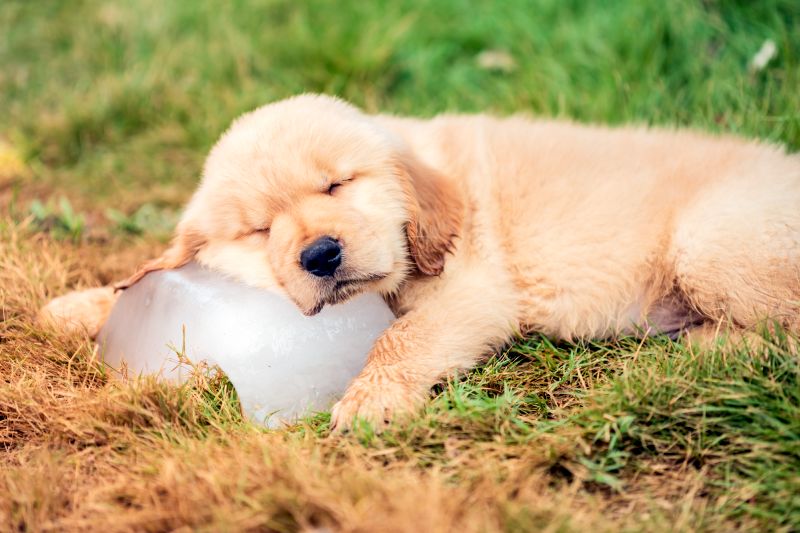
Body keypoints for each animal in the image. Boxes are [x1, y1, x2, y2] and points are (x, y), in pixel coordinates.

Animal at [39, 93, 800, 430]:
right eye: (260, 229)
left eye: (336, 185)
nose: (320, 255)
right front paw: (77, 304)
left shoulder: (473, 291)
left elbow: (404, 338)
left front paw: (369, 400)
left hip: (710, 240)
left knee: (781, 336)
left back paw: (691, 351)